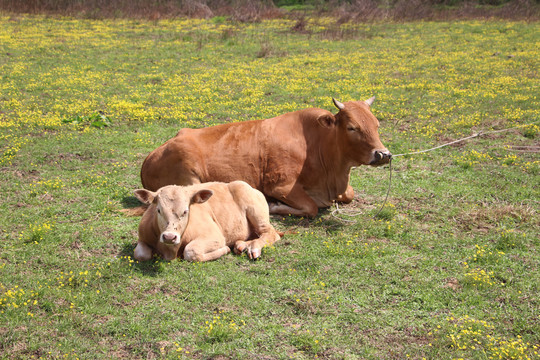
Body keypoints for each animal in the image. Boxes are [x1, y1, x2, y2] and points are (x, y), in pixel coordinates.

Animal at [133, 180, 280, 262]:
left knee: (270, 233)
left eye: (186, 211)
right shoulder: (142, 237)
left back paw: (253, 248)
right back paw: (241, 245)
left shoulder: (215, 236)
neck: (170, 251)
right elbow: (140, 254)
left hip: (257, 213)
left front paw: (225, 249)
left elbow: (191, 251)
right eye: (158, 210)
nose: (169, 237)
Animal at [141, 95, 390, 218]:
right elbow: (310, 208)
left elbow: (349, 194)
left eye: (377, 125)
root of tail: (149, 157)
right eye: (352, 127)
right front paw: (275, 207)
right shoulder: (280, 185)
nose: (383, 154)